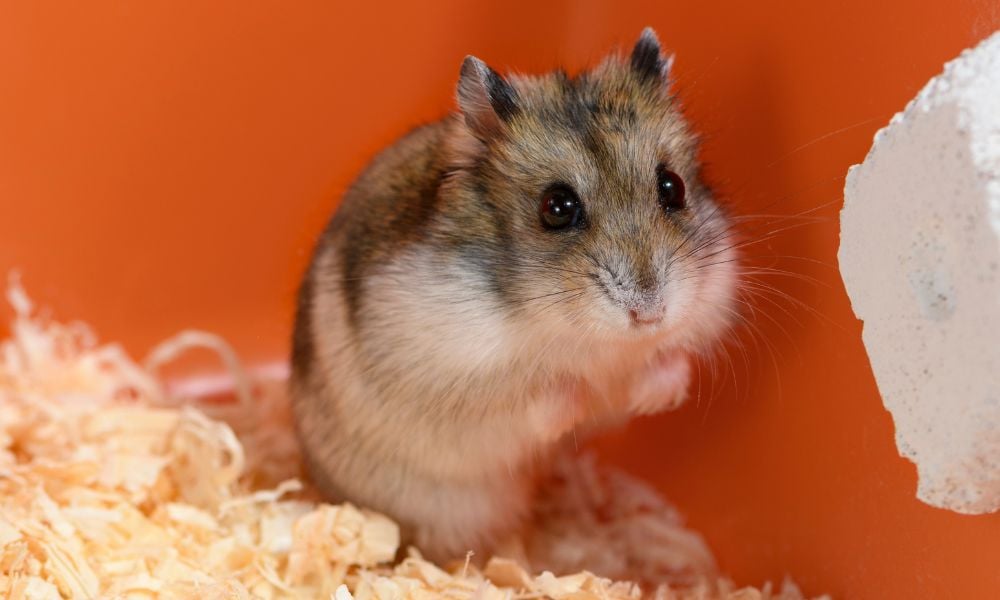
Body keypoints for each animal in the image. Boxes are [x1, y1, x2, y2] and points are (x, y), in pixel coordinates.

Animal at [291, 28, 738, 563]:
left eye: (672, 187)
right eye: (557, 207)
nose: (649, 313)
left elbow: (671, 361)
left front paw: (653, 396)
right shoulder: (456, 378)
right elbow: (535, 393)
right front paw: (580, 399)